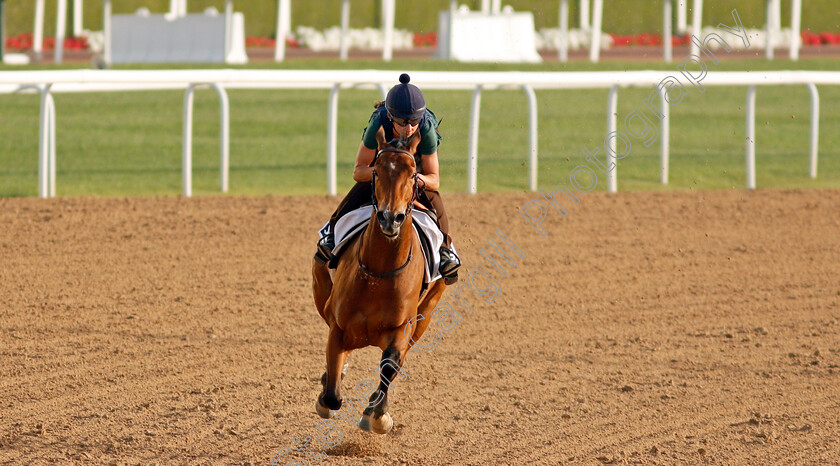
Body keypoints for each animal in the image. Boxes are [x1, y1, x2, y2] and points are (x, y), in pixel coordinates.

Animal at [312, 126, 450, 434]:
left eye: (412, 173)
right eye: (376, 170)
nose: (391, 218)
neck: (379, 273)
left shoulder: (403, 327)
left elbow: (390, 364)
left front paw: (378, 415)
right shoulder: (338, 323)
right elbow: (332, 395)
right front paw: (329, 388)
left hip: (427, 313)